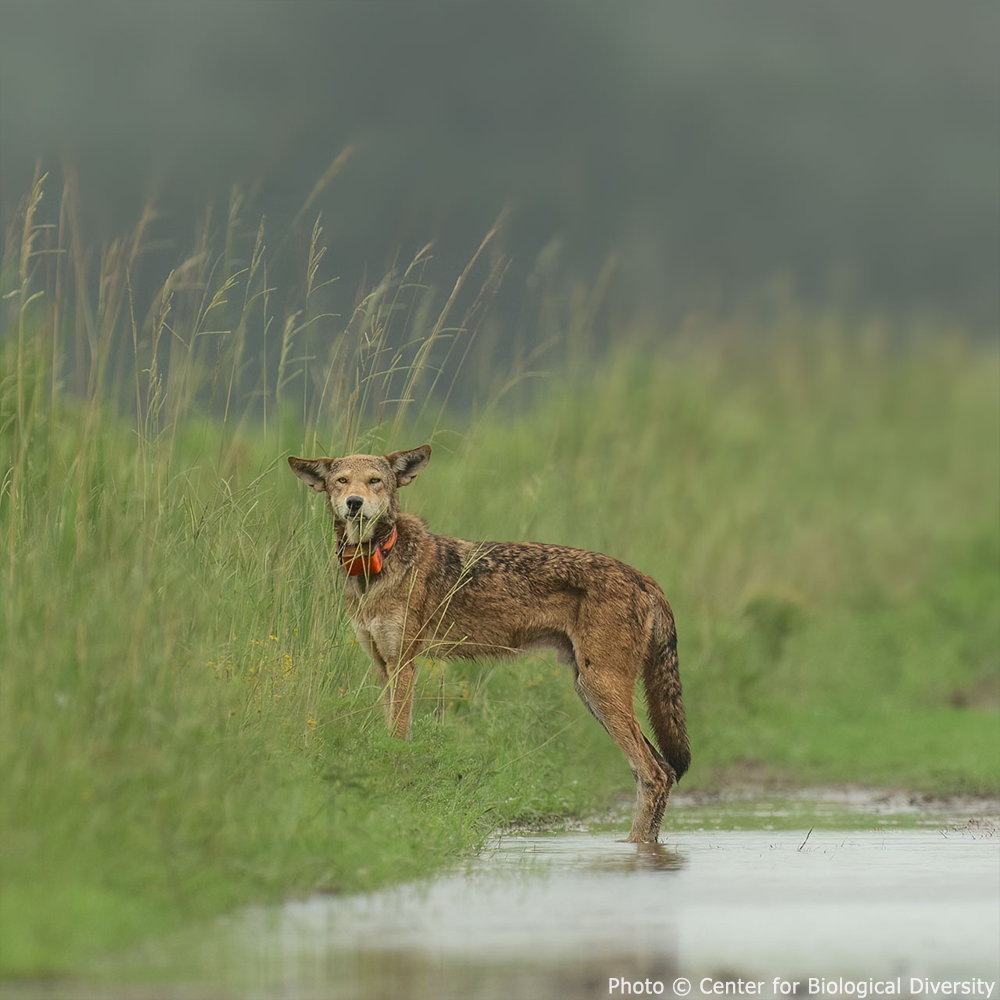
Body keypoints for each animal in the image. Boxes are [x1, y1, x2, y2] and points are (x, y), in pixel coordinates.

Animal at [288, 444, 690, 842]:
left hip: (600, 690)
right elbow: (391, 732)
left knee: (653, 774)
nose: (354, 503)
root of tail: (643, 577)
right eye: (342, 481)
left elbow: (398, 737)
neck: (376, 562)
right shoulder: (382, 665)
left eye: (375, 481)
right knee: (664, 771)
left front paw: (394, 789)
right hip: (591, 692)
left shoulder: (404, 664)